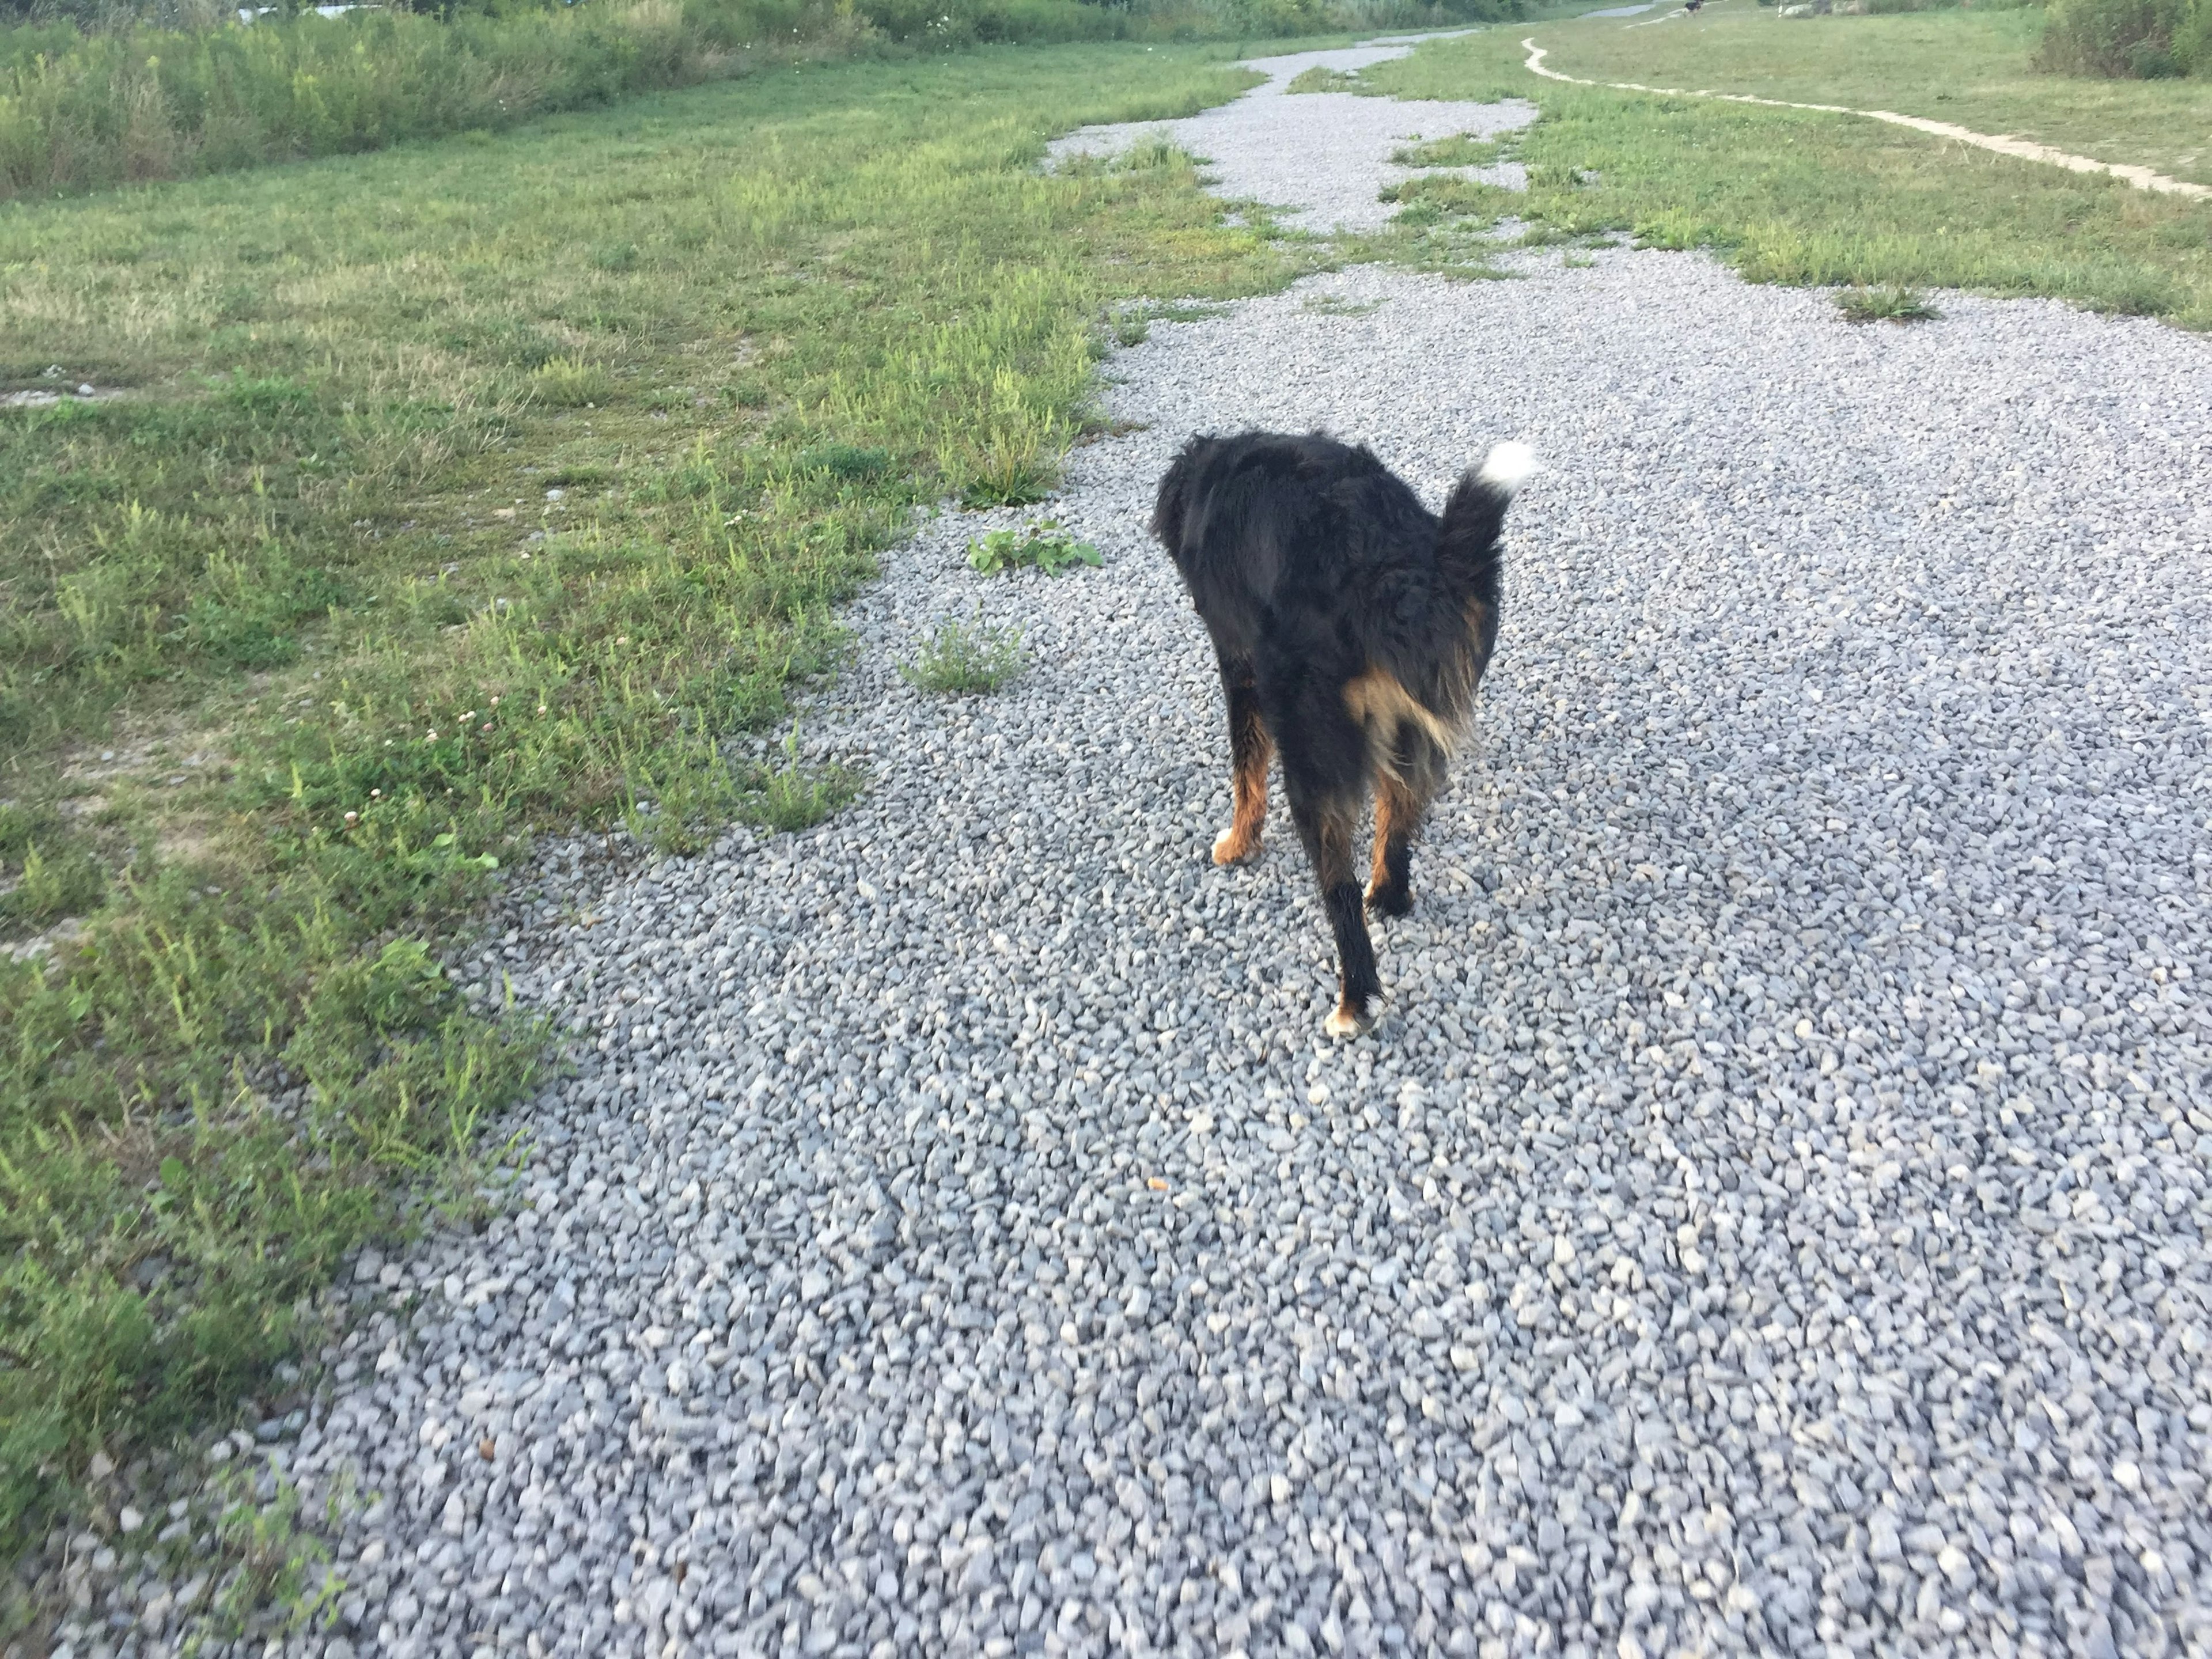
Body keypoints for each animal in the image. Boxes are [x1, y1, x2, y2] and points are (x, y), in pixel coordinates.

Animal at [1150, 429, 1531, 1035]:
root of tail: (1386, 561)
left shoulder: (1240, 667)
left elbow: (1245, 770)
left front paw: (1237, 844)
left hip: (1311, 747)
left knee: (1340, 891)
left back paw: (1355, 1002)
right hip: (1405, 726)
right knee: (1397, 821)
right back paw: (1389, 895)